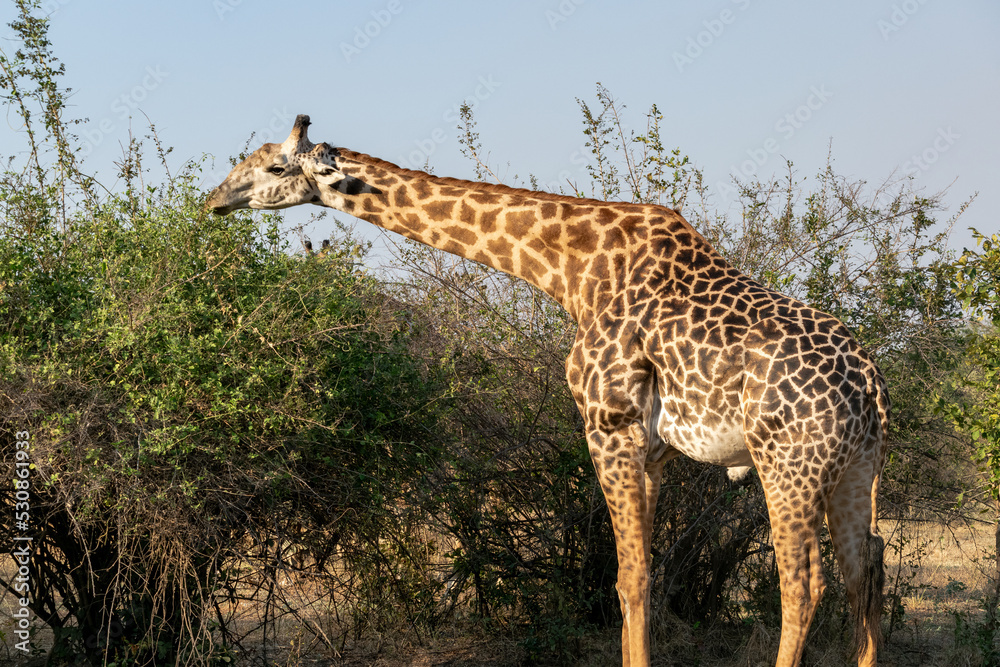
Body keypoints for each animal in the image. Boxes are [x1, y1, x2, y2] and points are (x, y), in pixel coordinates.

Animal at [207, 115, 888, 667]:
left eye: (272, 166)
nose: (215, 200)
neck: (571, 271)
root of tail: (870, 388)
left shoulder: (607, 425)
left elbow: (629, 578)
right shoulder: (654, 450)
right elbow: (639, 575)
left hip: (789, 463)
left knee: (803, 583)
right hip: (857, 469)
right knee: (866, 569)